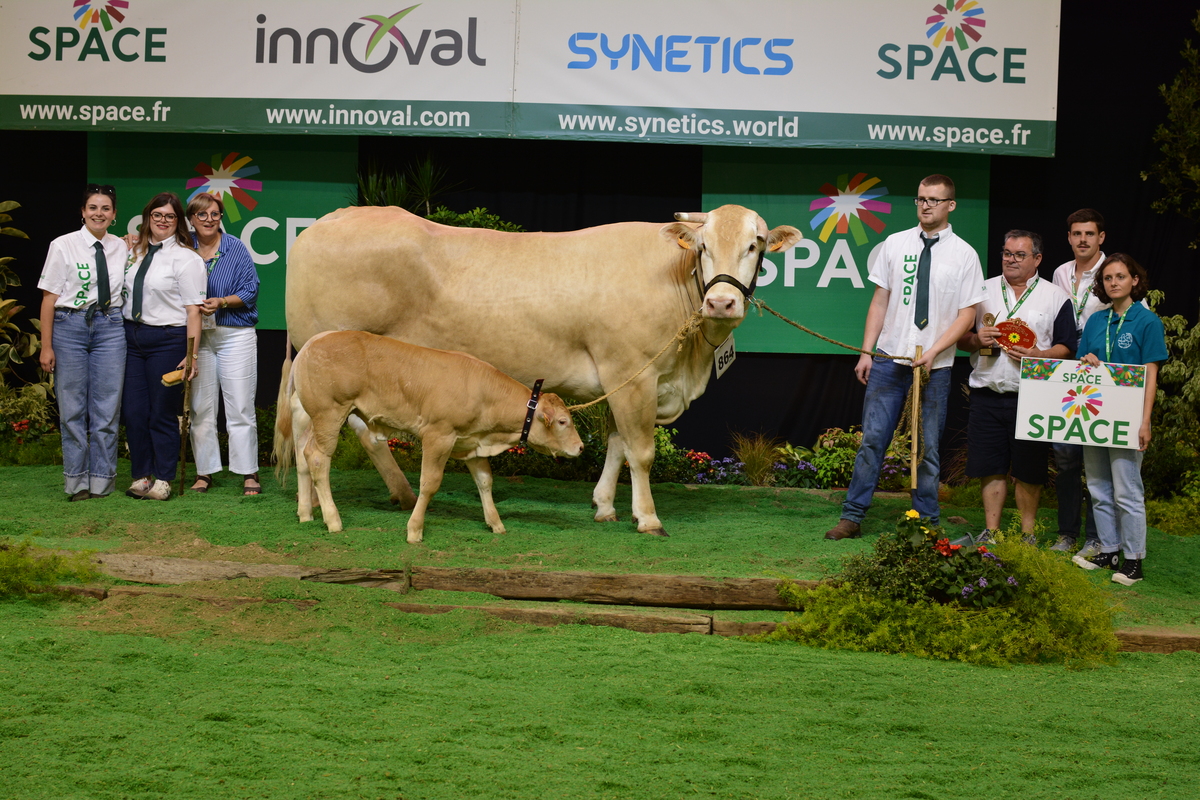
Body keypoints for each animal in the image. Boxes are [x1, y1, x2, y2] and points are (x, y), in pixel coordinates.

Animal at [274, 330, 583, 541]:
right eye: (563, 421)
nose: (580, 447)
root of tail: (314, 341)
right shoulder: (439, 435)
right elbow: (429, 483)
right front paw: (415, 529)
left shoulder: (472, 442)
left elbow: (485, 481)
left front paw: (495, 523)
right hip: (329, 412)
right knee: (318, 459)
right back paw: (333, 519)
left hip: (310, 418)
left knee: (303, 456)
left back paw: (305, 514)